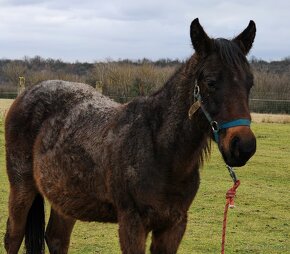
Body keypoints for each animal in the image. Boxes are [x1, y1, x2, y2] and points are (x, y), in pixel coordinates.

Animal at [4, 18, 256, 254]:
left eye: (250, 83)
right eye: (211, 82)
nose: (243, 146)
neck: (160, 151)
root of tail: (27, 93)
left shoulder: (174, 226)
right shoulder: (132, 224)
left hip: (65, 197)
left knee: (56, 238)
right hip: (22, 189)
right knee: (13, 237)